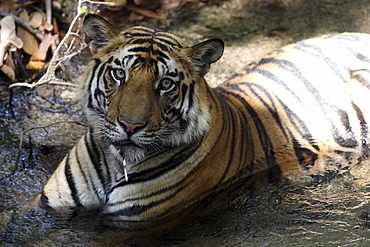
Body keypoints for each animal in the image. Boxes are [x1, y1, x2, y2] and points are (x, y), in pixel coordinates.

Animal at [31, 13, 370, 222]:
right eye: (119, 74)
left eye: (165, 84)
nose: (130, 126)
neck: (118, 163)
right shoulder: (47, 205)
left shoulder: (134, 221)